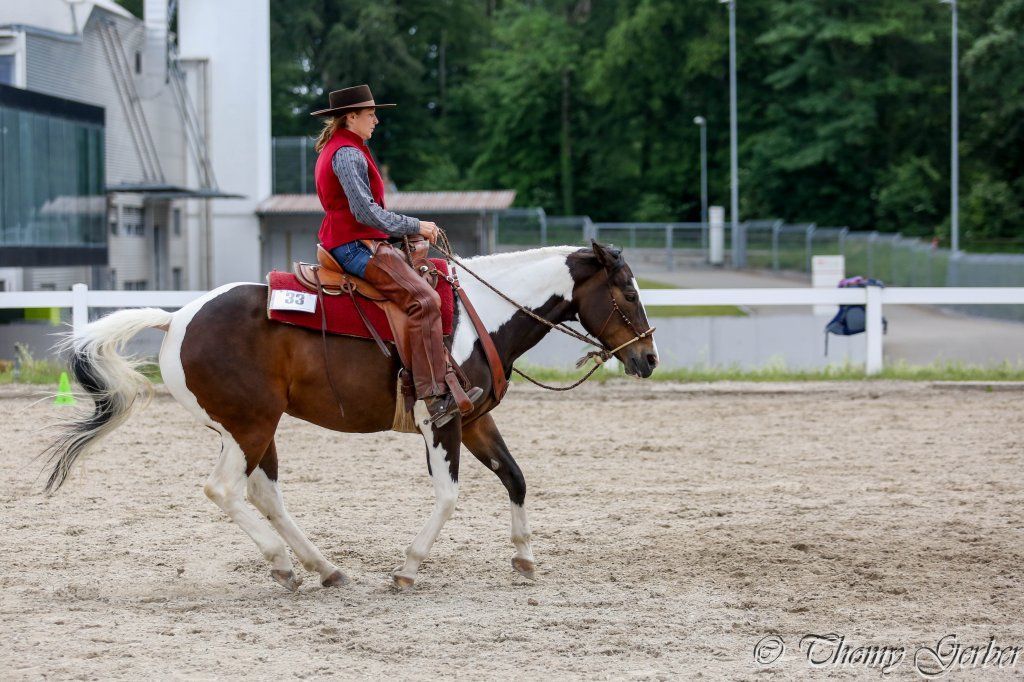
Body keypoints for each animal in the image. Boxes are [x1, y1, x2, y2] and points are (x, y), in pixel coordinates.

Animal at [41, 241, 659, 591]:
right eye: (628, 292)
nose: (649, 358)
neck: (480, 314)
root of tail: (177, 318)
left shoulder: (475, 420)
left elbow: (516, 477)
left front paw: (525, 560)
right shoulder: (442, 423)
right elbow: (448, 496)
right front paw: (408, 568)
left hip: (258, 428)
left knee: (264, 494)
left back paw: (323, 568)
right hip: (248, 425)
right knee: (225, 490)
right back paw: (282, 565)